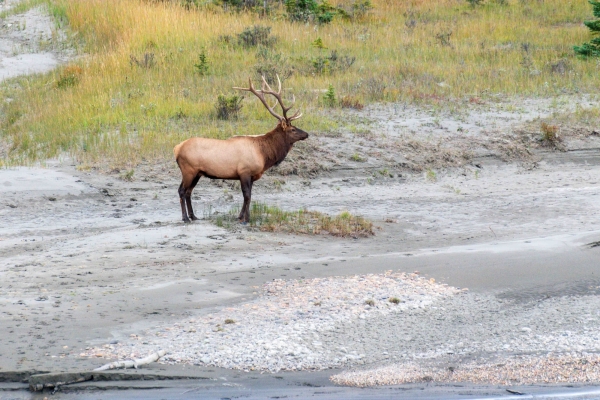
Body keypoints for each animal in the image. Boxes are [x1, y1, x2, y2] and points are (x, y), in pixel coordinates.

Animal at [171, 76, 308, 223]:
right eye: (293, 129)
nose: (307, 134)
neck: (264, 154)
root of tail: (177, 148)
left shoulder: (252, 176)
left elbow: (249, 196)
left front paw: (241, 216)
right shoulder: (244, 172)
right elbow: (247, 196)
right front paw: (245, 219)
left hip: (197, 173)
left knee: (189, 191)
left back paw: (193, 216)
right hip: (188, 170)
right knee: (181, 190)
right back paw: (185, 218)